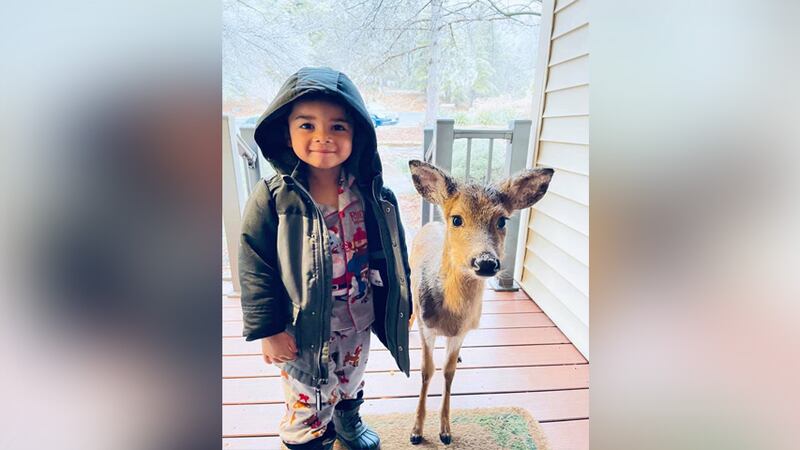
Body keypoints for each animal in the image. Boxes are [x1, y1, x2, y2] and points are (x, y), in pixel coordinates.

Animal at [406, 159, 554, 445]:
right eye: (457, 219)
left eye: (502, 220)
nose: (485, 262)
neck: (450, 316)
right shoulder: (427, 326)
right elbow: (426, 371)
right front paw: (416, 431)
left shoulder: (461, 331)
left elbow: (448, 371)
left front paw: (445, 431)